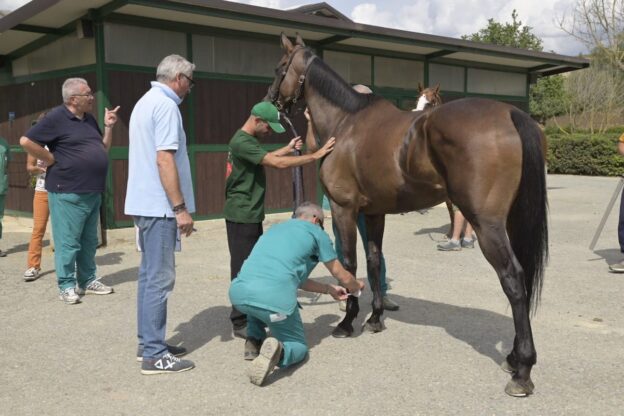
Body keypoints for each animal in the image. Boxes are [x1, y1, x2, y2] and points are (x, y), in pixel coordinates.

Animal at [266, 33, 548, 396]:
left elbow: (349, 263)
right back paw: (513, 357)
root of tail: (512, 113)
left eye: (279, 68)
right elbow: (374, 261)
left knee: (513, 279)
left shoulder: (344, 210)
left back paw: (522, 370)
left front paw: (347, 321)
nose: (271, 100)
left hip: (487, 225)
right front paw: (374, 318)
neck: (346, 124)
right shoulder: (374, 214)